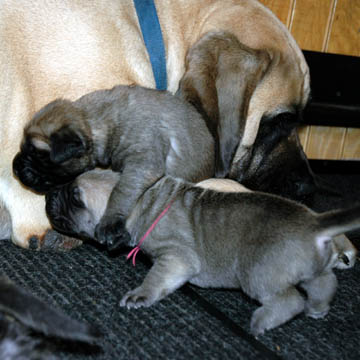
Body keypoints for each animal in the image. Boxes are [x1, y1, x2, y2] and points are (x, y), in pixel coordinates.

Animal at [14, 84, 214, 249]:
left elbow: (120, 191)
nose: (15, 167)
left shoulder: (142, 163)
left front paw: (109, 220)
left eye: (37, 154)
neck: (94, 122)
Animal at [44, 170, 358, 336]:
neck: (142, 201)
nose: (48, 195)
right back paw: (318, 307)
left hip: (258, 274)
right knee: (324, 282)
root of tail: (314, 224)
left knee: (290, 300)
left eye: (76, 198)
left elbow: (156, 279)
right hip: (310, 268)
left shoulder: (175, 259)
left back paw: (262, 321)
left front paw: (140, 295)